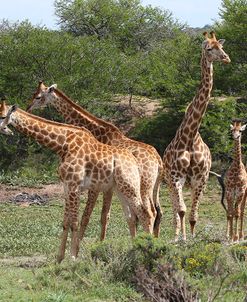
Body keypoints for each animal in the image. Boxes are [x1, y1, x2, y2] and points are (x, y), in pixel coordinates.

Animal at [0, 100, 154, 264]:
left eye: (2, 115)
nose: (6, 131)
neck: (62, 145)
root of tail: (135, 162)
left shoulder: (74, 186)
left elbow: (75, 222)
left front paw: (73, 257)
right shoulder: (66, 186)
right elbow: (65, 222)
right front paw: (59, 258)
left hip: (129, 186)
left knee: (146, 214)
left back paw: (150, 249)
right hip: (120, 189)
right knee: (133, 217)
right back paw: (135, 250)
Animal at [27, 81, 163, 239]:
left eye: (38, 96)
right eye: (33, 94)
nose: (28, 107)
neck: (97, 131)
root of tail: (159, 162)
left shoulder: (99, 186)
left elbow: (94, 216)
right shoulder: (109, 187)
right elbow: (112, 216)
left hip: (143, 186)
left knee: (150, 212)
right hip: (153, 187)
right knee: (158, 212)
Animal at [163, 31, 231, 242]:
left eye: (221, 46)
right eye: (209, 48)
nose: (226, 58)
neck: (191, 137)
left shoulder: (201, 178)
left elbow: (194, 215)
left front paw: (193, 238)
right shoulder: (176, 177)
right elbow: (182, 210)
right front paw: (183, 240)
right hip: (169, 182)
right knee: (175, 210)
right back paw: (176, 236)